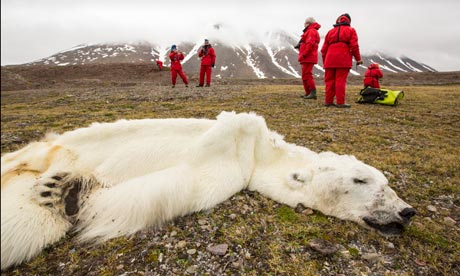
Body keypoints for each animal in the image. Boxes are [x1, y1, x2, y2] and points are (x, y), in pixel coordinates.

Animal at [0, 110, 416, 270]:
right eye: (362, 180)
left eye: (386, 183)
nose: (406, 211)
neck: (259, 154)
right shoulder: (235, 146)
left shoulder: (227, 174)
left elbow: (166, 189)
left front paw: (71, 194)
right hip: (52, 147)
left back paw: (57, 189)